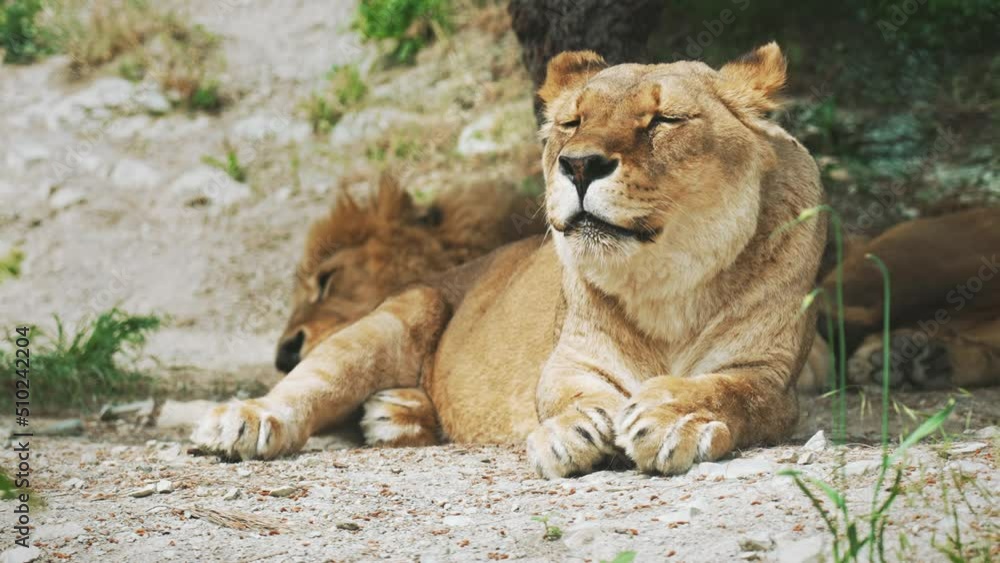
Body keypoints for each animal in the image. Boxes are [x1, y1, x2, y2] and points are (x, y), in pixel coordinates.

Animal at [193, 43, 828, 478]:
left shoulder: (771, 376)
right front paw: (573, 430)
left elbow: (726, 390)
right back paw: (245, 421)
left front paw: (673, 419)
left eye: (664, 120)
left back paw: (396, 413)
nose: (579, 165)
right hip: (399, 313)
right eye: (572, 122)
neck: (667, 286)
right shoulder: (568, 360)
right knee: (306, 384)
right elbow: (565, 395)